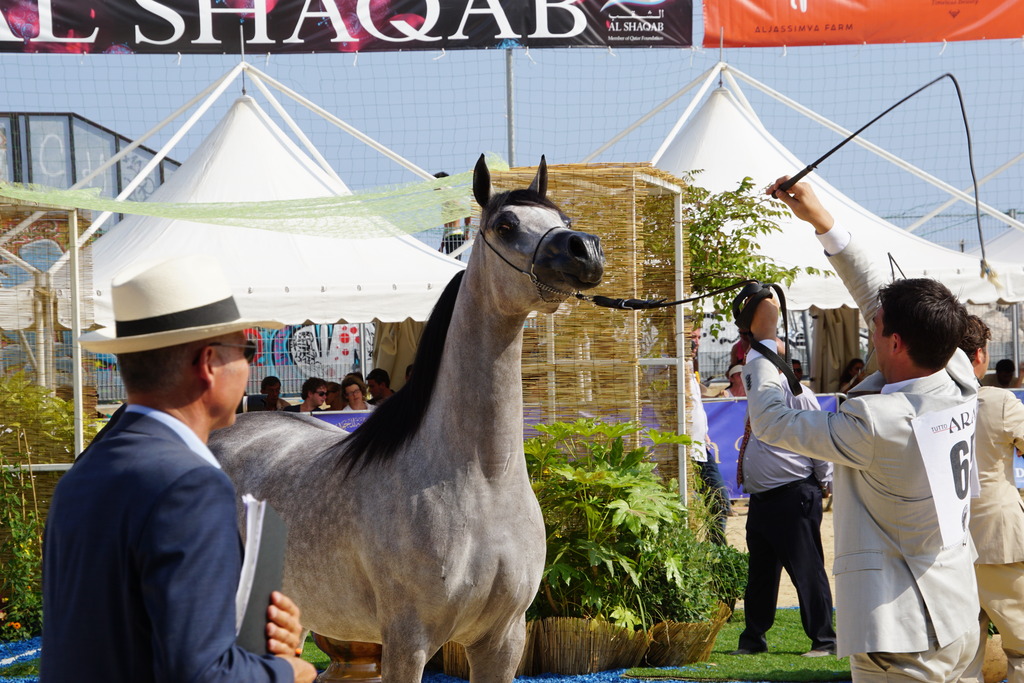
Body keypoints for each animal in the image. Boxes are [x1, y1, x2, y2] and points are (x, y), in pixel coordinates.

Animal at [209, 155, 605, 683]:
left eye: (562, 219)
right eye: (506, 225)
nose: (585, 250)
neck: (482, 480)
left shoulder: (504, 641)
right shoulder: (407, 642)